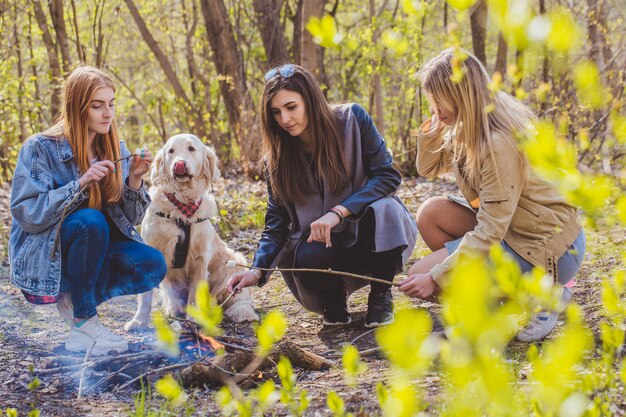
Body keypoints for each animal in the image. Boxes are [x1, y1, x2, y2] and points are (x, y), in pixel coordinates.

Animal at [125, 132, 258, 328]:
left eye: (191, 148)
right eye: (171, 151)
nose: (179, 164)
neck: (181, 205)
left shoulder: (200, 259)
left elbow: (195, 294)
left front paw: (193, 318)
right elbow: (145, 297)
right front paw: (138, 321)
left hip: (233, 263)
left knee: (238, 297)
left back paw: (242, 312)